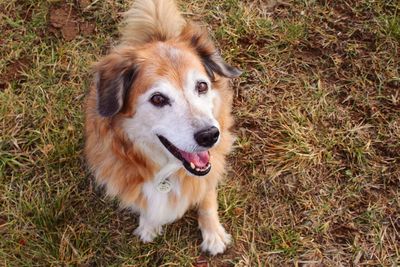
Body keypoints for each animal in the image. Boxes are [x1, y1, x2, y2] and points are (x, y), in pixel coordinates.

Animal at [84, 0, 241, 256]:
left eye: (201, 86)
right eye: (158, 99)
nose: (209, 135)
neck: (167, 172)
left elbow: (206, 197)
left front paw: (213, 234)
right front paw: (149, 225)